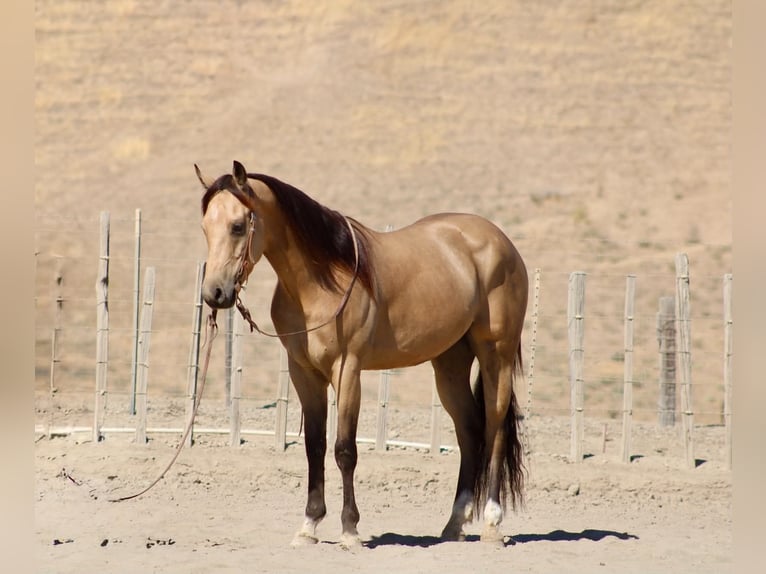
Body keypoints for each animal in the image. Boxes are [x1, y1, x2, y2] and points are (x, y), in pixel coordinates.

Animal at [195, 161, 529, 548]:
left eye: (237, 226)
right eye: (205, 227)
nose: (214, 293)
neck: (321, 283)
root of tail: (500, 241)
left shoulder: (347, 370)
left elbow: (344, 450)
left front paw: (349, 529)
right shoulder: (304, 373)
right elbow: (314, 447)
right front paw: (309, 526)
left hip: (496, 356)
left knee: (495, 428)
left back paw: (492, 523)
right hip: (449, 365)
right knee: (470, 430)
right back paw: (455, 523)